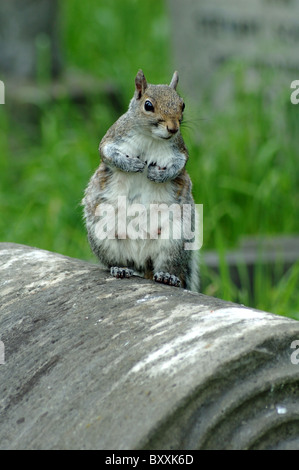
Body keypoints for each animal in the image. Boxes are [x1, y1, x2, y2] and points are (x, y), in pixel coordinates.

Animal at [82, 69, 200, 290]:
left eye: (182, 104)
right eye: (148, 105)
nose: (173, 128)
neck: (150, 136)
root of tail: (141, 259)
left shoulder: (179, 150)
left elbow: (178, 166)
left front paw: (159, 175)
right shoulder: (113, 137)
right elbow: (108, 154)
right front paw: (131, 165)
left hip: (175, 238)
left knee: (166, 264)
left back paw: (167, 276)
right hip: (104, 235)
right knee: (117, 261)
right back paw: (120, 269)